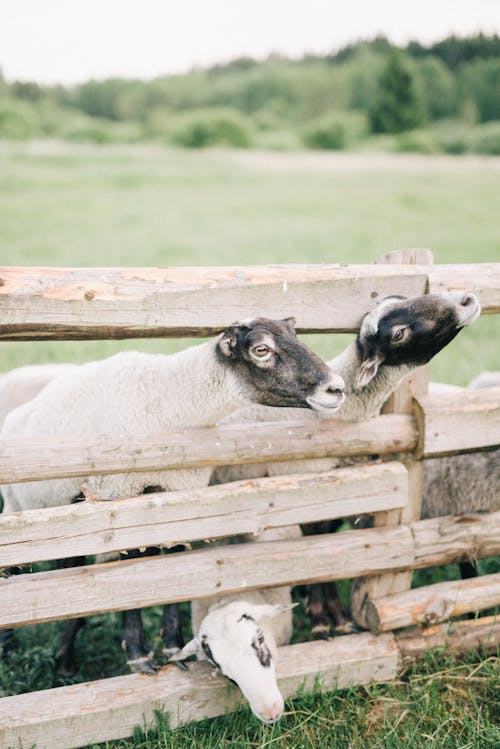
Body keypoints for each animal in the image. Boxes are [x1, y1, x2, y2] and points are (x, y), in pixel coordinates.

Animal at [0, 316, 344, 672]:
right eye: (261, 349)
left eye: (295, 335)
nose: (337, 388)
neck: (170, 402)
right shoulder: (119, 492)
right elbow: (131, 563)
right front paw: (138, 655)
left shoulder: (179, 492)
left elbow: (172, 561)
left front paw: (173, 648)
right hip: (20, 505)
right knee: (14, 568)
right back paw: (11, 649)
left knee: (72, 562)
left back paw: (65, 661)